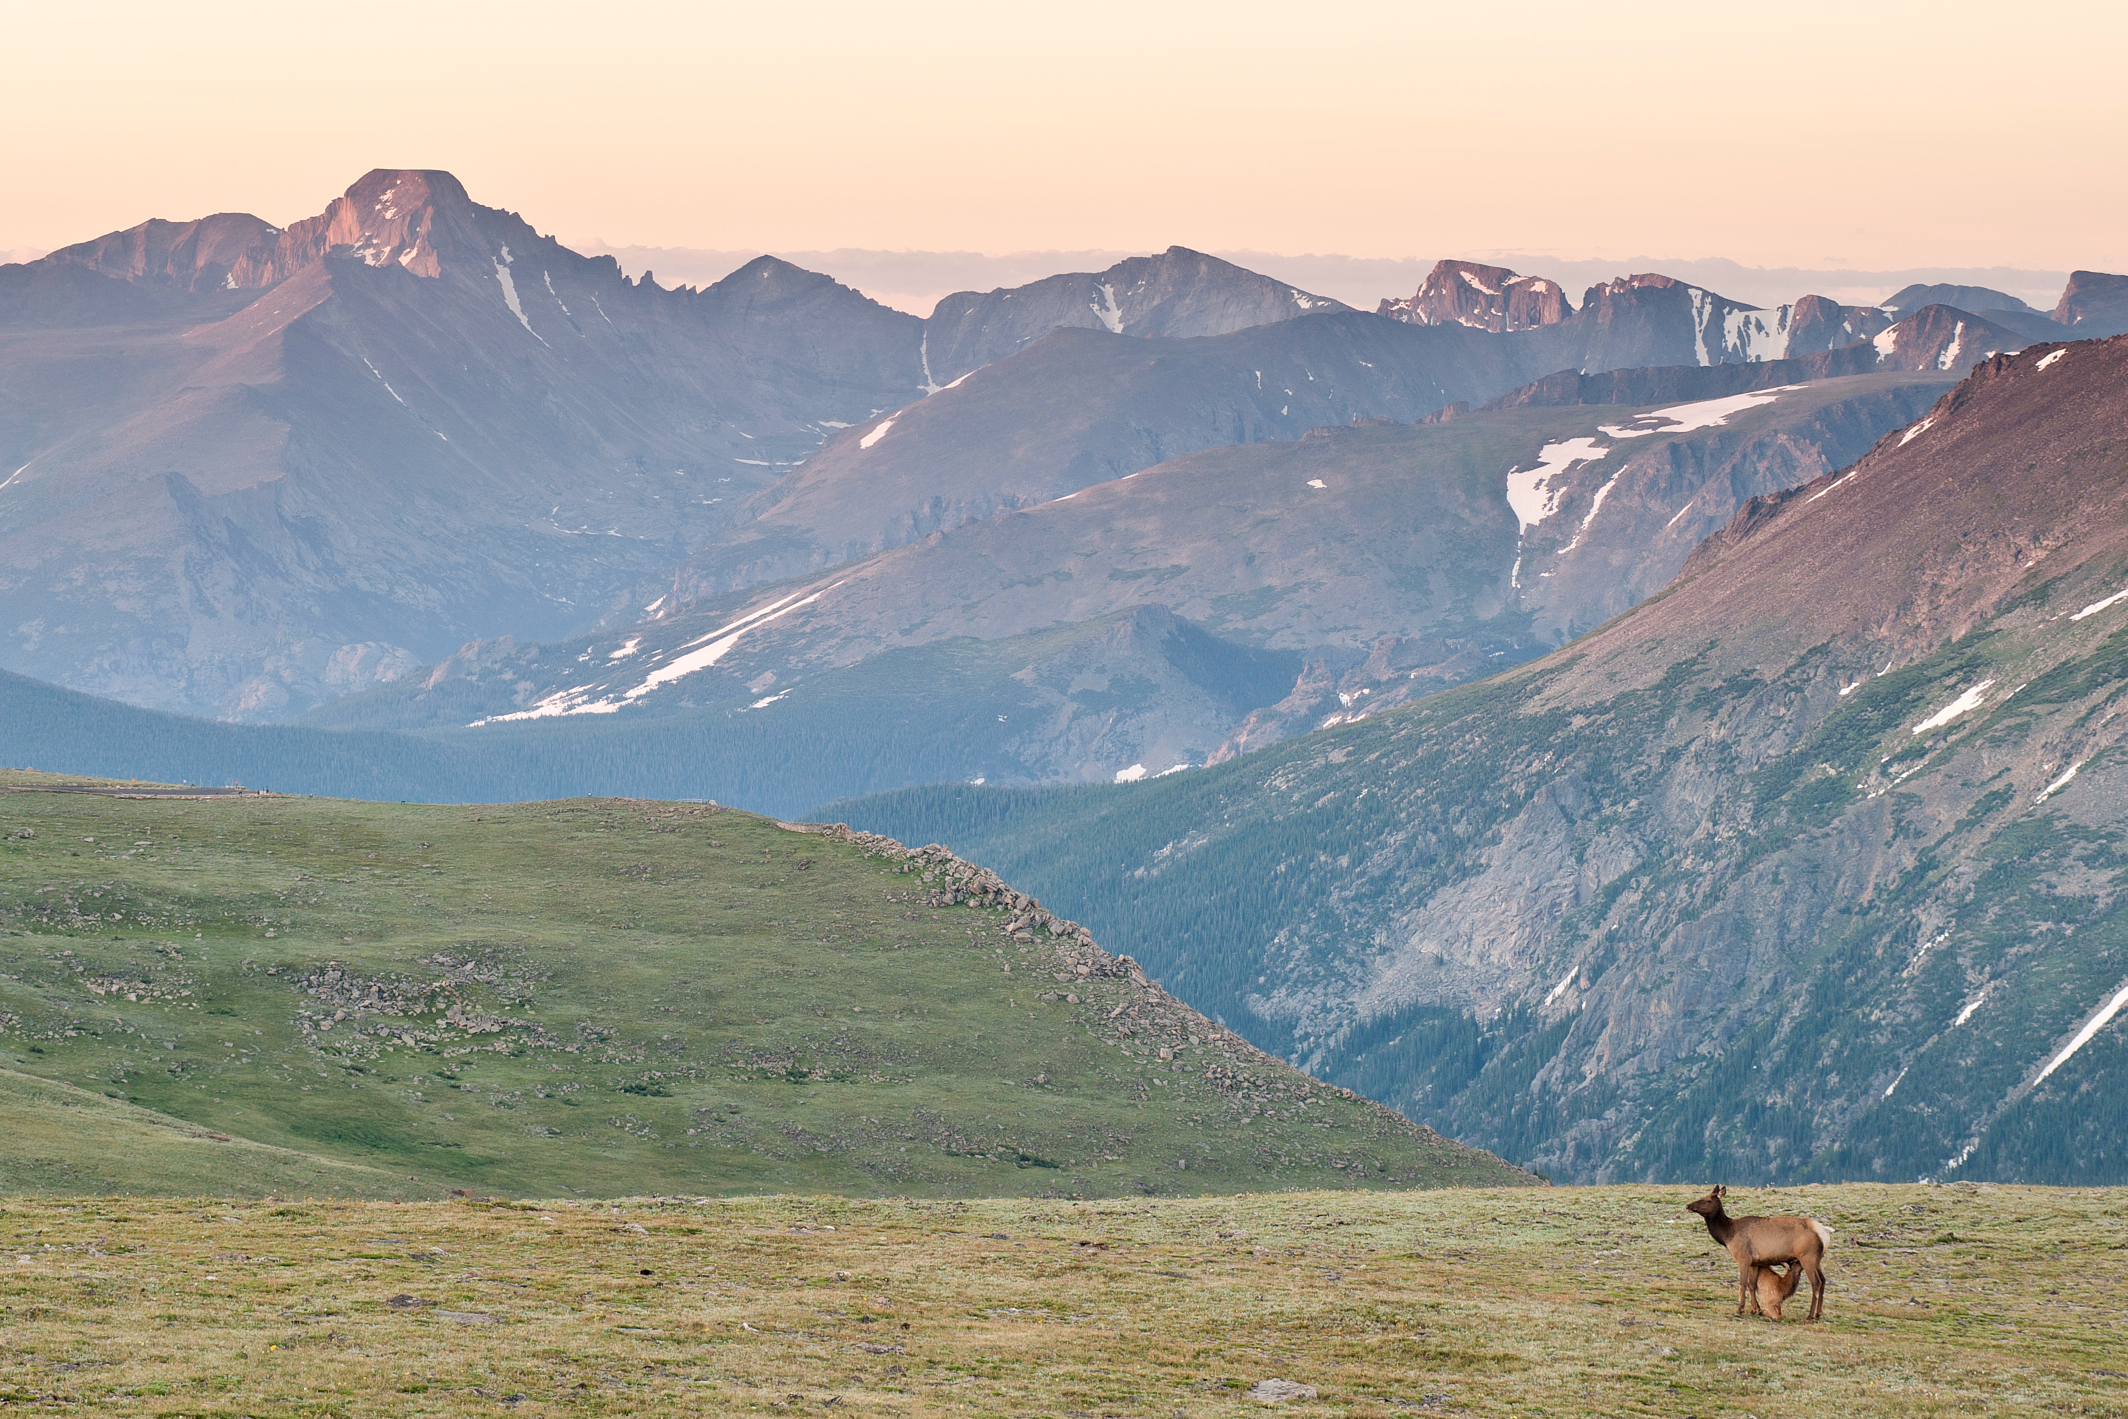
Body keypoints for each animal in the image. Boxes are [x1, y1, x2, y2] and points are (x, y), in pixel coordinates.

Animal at [1693, 1182, 1830, 1327]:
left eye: (1708, 1200)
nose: (1688, 1206)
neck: (1727, 1235)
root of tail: (1824, 1232)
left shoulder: (1743, 1258)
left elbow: (1742, 1284)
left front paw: (1739, 1310)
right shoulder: (1755, 1262)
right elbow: (1752, 1285)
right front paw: (1755, 1310)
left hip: (1807, 1257)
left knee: (1815, 1283)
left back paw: (1810, 1316)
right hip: (1817, 1260)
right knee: (1823, 1280)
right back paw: (1818, 1314)